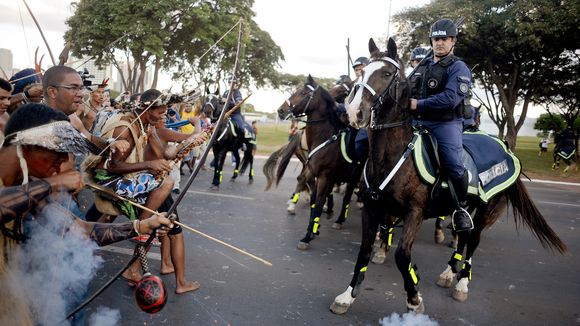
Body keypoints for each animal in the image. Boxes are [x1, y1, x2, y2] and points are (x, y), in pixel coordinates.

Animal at [268, 76, 362, 250]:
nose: (281, 110)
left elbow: (318, 203)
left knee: (347, 197)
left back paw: (339, 219)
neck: (324, 137)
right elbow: (314, 199)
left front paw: (307, 236)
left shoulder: (325, 176)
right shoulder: (313, 172)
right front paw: (313, 229)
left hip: (354, 176)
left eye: (303, 93)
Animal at [330, 37, 568, 314]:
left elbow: (402, 256)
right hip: (465, 207)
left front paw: (414, 298)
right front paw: (347, 296)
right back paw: (448, 272)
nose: (354, 112)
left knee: (473, 240)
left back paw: (461, 283)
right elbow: (364, 251)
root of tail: (505, 147)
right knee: (463, 235)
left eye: (387, 74)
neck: (394, 156)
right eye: (363, 72)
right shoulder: (372, 208)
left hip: (486, 209)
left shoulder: (415, 212)